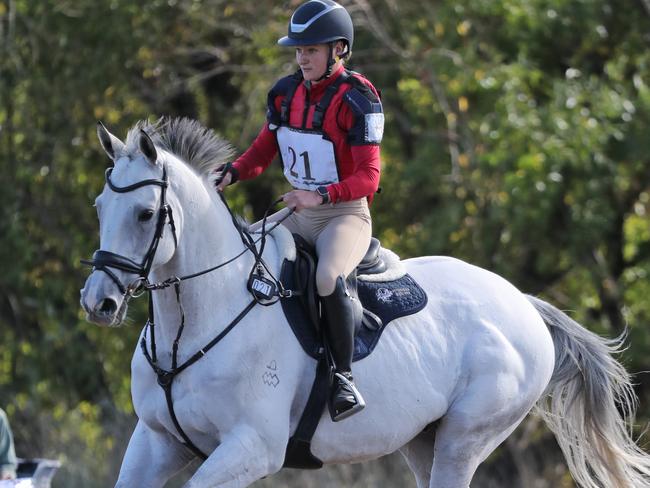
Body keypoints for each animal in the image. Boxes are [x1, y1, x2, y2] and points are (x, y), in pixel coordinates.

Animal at [81, 119, 648, 488]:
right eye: (100, 207)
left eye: (145, 213)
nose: (98, 302)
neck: (192, 326)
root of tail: (523, 304)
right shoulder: (156, 442)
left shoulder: (251, 447)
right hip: (423, 440)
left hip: (466, 438)